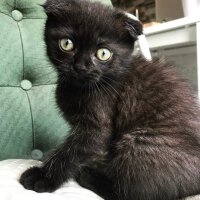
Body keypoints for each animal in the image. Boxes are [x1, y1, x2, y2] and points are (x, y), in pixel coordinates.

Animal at [19, 0, 200, 200]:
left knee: (130, 193)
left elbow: (71, 152)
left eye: (103, 53)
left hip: (138, 144)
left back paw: (89, 175)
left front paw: (43, 177)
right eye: (67, 44)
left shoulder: (97, 125)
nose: (80, 66)